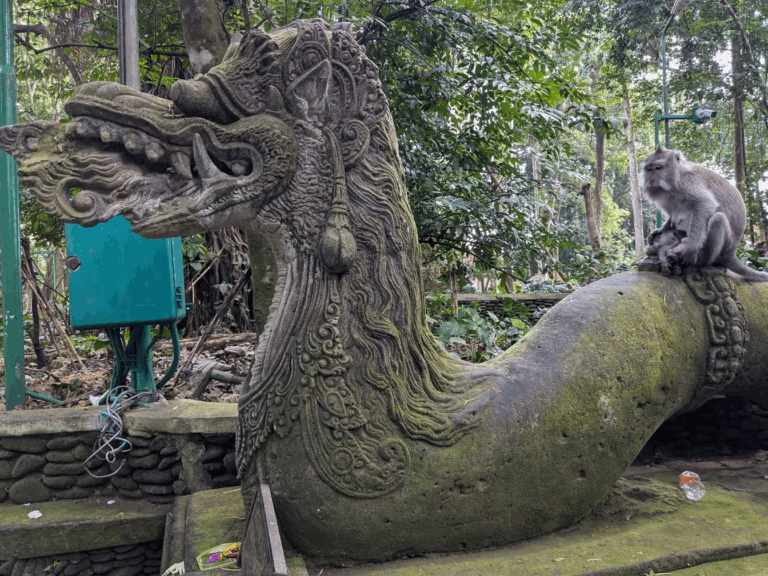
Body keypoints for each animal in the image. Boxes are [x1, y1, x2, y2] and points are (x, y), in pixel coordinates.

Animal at [642, 145, 768, 282]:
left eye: (658, 168)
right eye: (649, 169)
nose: (652, 180)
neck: (677, 176)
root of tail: (731, 253)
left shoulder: (687, 184)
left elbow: (704, 204)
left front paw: (690, 249)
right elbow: (673, 216)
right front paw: (659, 230)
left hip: (723, 248)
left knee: (718, 219)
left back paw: (700, 261)